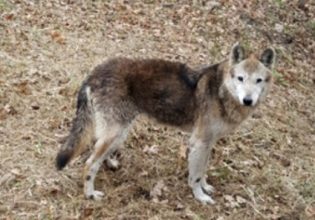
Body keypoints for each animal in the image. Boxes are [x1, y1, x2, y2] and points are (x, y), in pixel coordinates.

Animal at [55, 43, 276, 205]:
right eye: (240, 78)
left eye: (258, 80)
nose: (248, 100)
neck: (221, 91)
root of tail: (94, 72)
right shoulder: (199, 142)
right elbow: (195, 176)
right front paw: (201, 197)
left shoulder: (208, 143)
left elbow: (203, 169)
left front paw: (205, 187)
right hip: (116, 131)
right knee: (89, 163)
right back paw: (90, 194)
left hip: (120, 131)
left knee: (96, 149)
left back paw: (110, 163)